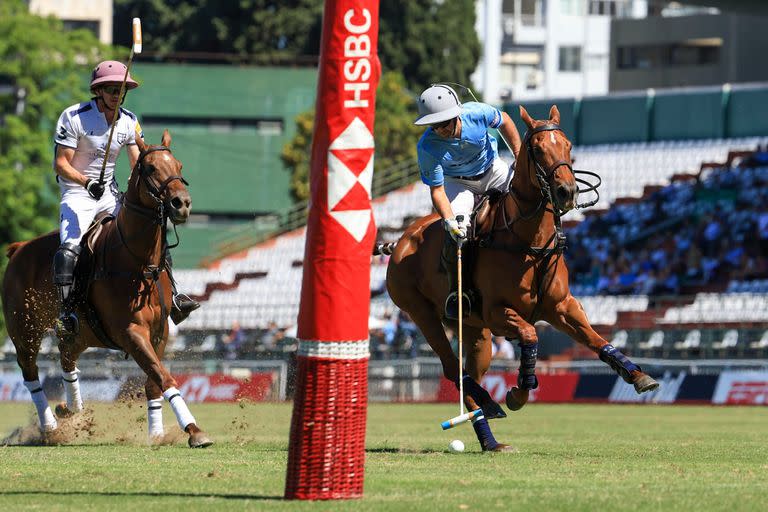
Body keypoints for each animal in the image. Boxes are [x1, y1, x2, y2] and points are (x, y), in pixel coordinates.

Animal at [2, 132, 213, 448]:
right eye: (150, 168)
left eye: (179, 165)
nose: (182, 203)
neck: (137, 261)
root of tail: (18, 249)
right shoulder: (130, 332)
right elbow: (163, 377)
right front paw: (194, 430)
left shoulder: (160, 332)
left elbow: (154, 381)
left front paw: (157, 434)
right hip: (24, 330)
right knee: (30, 373)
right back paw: (50, 427)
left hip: (80, 332)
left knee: (67, 359)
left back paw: (70, 409)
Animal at [388, 107, 656, 448]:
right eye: (538, 149)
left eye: (568, 145)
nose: (567, 192)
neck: (530, 241)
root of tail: (399, 241)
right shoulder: (498, 312)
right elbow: (530, 336)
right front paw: (517, 392)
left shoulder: (562, 307)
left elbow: (596, 340)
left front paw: (639, 376)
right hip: (420, 312)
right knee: (451, 367)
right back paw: (490, 406)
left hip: (475, 330)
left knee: (469, 372)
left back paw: (489, 433)